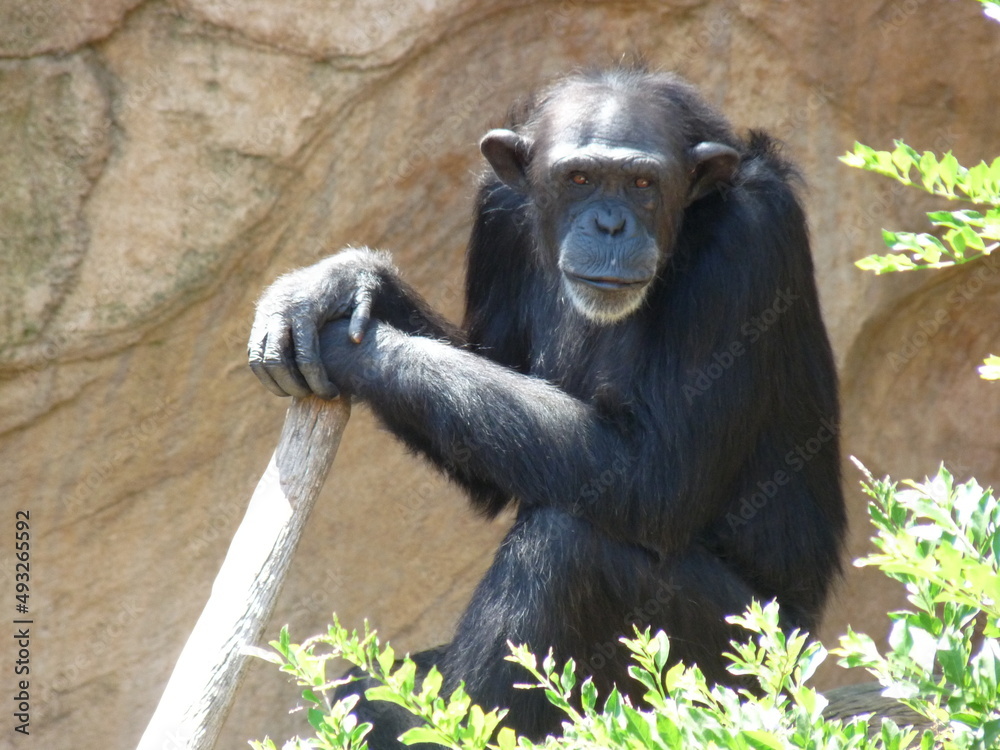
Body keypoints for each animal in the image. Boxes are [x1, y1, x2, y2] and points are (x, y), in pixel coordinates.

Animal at [248, 67, 844, 748]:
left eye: (643, 184)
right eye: (578, 178)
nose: (610, 224)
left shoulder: (746, 242)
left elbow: (656, 475)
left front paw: (349, 343)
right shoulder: (497, 216)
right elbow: (487, 392)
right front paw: (343, 282)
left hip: (745, 668)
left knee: (569, 548)